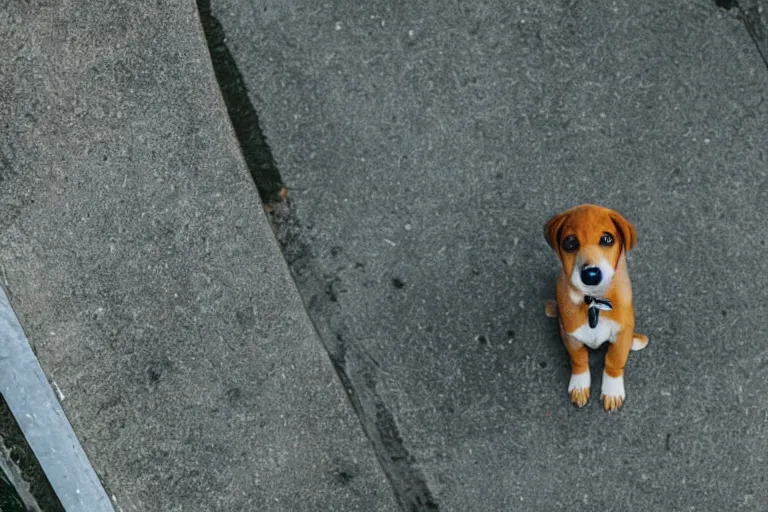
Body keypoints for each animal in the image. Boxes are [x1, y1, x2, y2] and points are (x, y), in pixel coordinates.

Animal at [544, 204, 644, 412]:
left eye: (607, 239)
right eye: (570, 243)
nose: (591, 274)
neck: (594, 301)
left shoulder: (622, 333)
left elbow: (614, 360)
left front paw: (612, 391)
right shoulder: (571, 335)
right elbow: (578, 358)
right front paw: (580, 385)